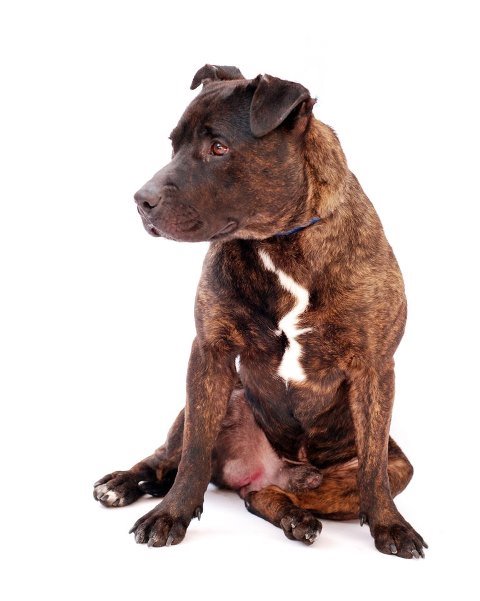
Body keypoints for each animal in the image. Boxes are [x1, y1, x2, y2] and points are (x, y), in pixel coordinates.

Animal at [93, 65, 426, 558]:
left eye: (218, 147)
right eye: (173, 144)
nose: (141, 199)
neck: (279, 242)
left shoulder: (374, 368)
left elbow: (373, 471)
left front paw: (390, 526)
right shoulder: (209, 353)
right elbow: (193, 453)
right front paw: (171, 515)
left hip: (389, 464)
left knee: (268, 495)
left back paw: (295, 516)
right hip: (221, 397)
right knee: (170, 456)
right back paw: (124, 483)